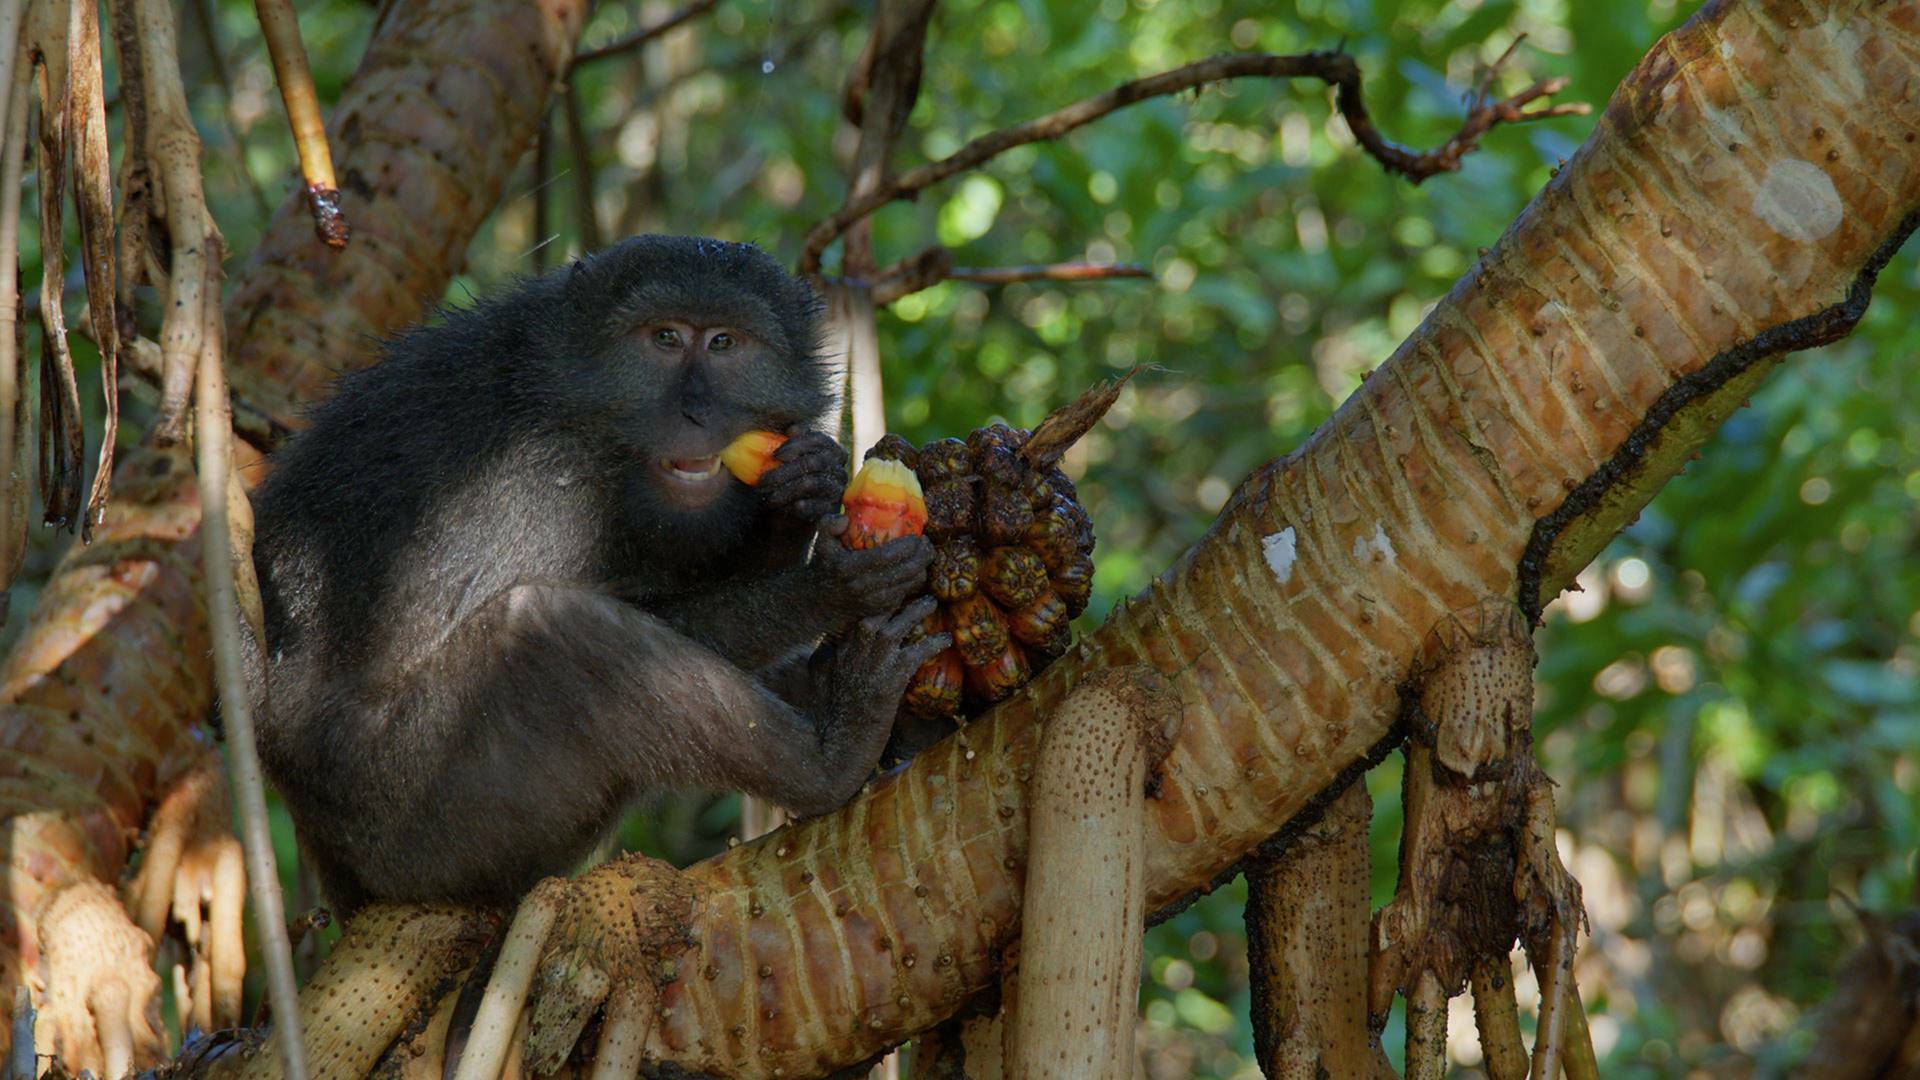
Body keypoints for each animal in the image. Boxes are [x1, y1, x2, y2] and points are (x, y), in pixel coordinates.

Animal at [251, 233, 948, 907]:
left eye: (724, 342)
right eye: (665, 338)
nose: (696, 413)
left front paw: (802, 488)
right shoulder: (547, 482)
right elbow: (660, 619)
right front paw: (829, 587)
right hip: (409, 815)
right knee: (556, 632)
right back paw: (834, 756)